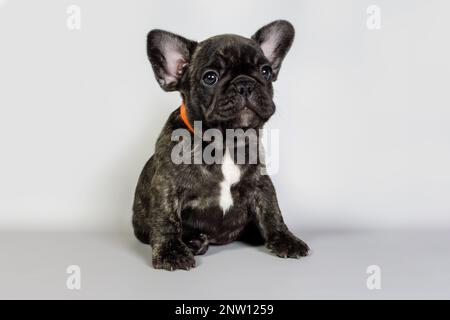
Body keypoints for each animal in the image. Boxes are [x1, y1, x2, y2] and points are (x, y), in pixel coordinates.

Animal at [133, 20, 310, 270]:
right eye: (210, 77)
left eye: (265, 71)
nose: (245, 84)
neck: (226, 141)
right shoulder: (166, 185)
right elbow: (166, 218)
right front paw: (171, 252)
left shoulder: (261, 184)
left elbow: (272, 212)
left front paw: (285, 239)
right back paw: (193, 242)